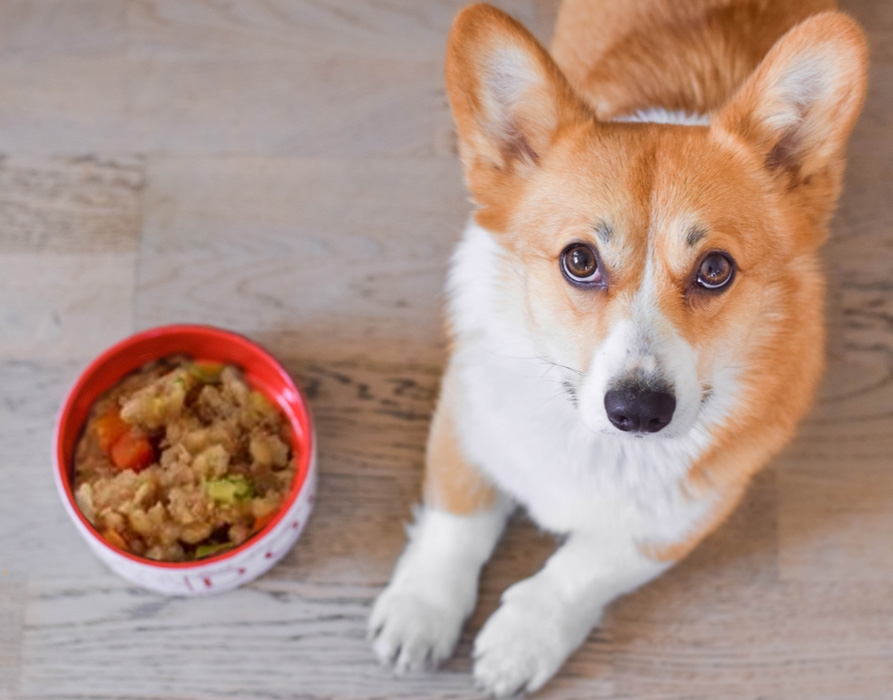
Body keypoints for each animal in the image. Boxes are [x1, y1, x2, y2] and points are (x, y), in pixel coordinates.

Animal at [368, 1, 864, 696]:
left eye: (715, 269)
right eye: (579, 261)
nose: (638, 412)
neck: (599, 448)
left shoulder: (680, 518)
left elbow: (582, 568)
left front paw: (523, 640)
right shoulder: (465, 417)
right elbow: (456, 520)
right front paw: (421, 611)